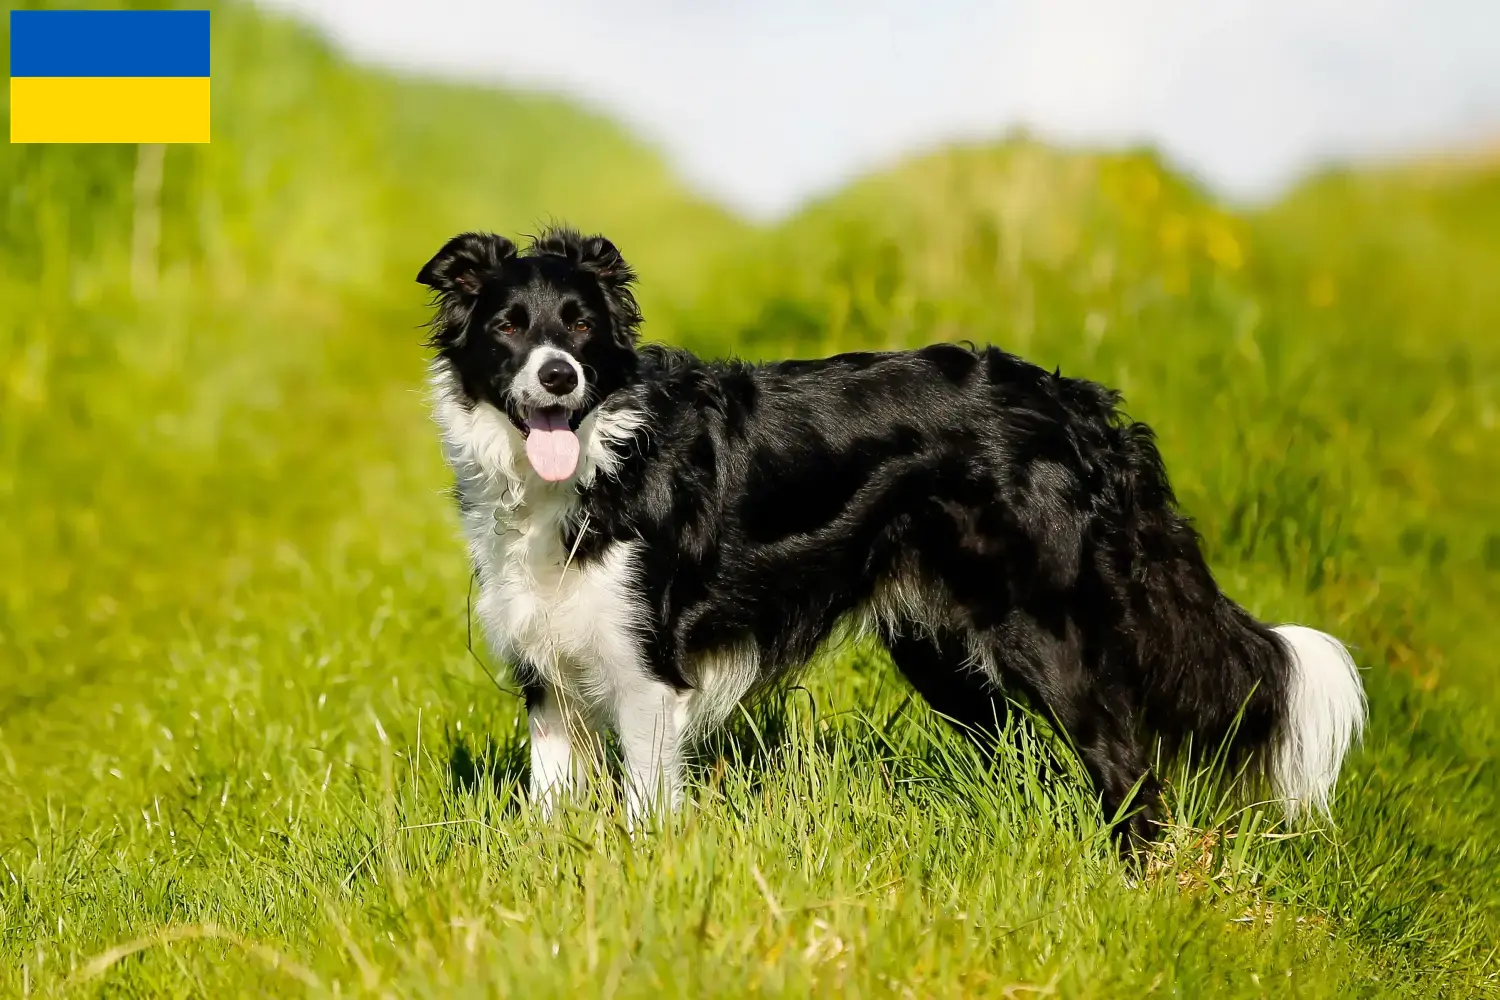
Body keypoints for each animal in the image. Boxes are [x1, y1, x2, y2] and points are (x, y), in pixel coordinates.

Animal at [417, 226, 1368, 845]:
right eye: (509, 326)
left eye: (580, 325)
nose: (559, 377)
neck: (590, 460)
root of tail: (1077, 405)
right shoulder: (545, 674)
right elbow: (547, 802)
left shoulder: (648, 673)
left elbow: (647, 810)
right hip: (942, 651)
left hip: (1047, 636)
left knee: (1132, 774)